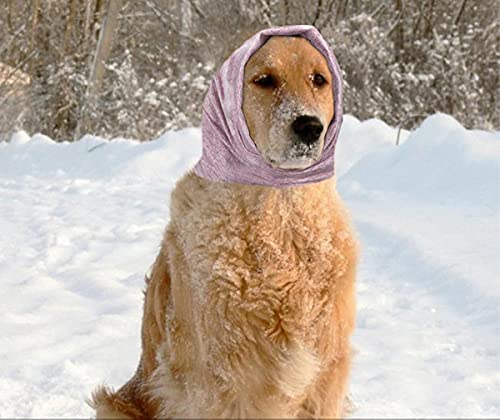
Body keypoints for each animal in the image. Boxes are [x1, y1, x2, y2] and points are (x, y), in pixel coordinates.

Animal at [89, 33, 356, 420]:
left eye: (318, 79)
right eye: (264, 80)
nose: (309, 127)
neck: (280, 223)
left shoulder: (326, 377)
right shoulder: (227, 383)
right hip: (115, 406)